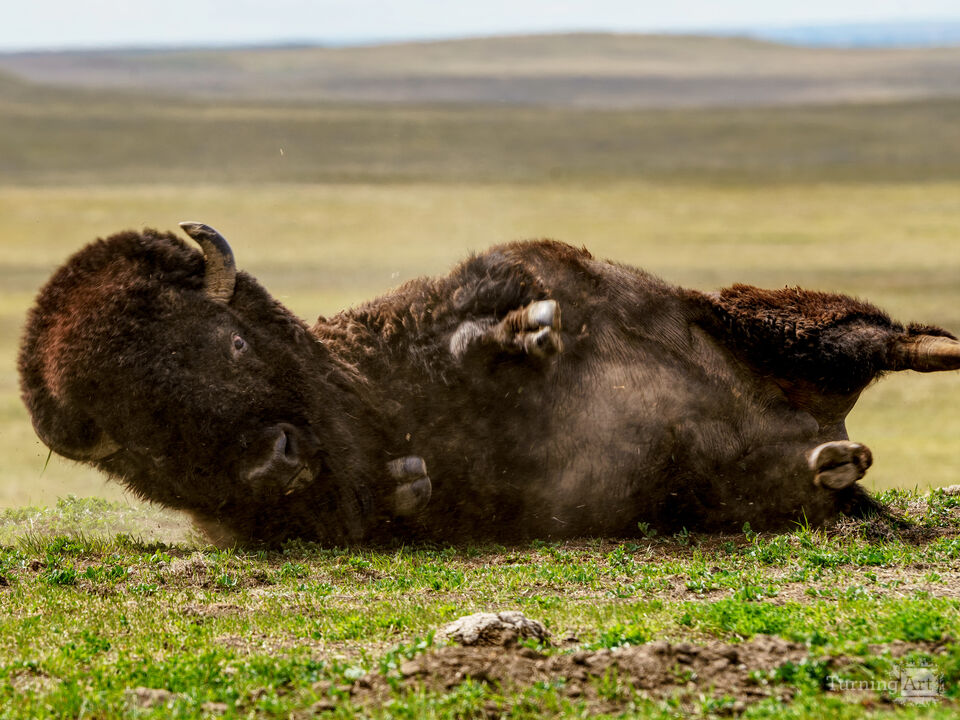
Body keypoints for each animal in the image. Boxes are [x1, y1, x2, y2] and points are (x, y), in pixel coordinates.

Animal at [18, 223, 960, 546]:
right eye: (146, 439)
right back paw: (837, 462)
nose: (272, 459)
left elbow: (491, 325)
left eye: (231, 345)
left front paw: (531, 329)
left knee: (902, 343)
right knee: (832, 464)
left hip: (783, 325)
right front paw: (407, 480)